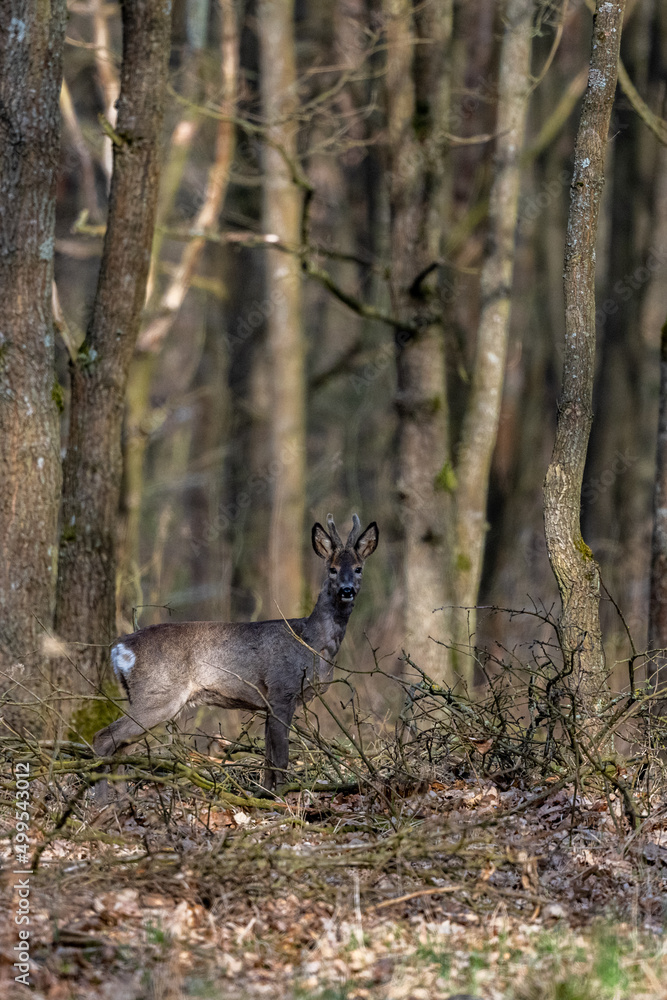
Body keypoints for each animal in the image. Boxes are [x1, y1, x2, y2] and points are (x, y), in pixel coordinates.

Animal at [93, 514, 378, 797]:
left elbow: (268, 760)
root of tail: (120, 648)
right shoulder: (282, 691)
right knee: (103, 738)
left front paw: (265, 796)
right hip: (157, 695)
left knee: (123, 749)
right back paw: (101, 801)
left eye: (358, 568)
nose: (347, 590)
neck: (312, 643)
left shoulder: (268, 703)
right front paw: (282, 798)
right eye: (332, 568)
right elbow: (281, 758)